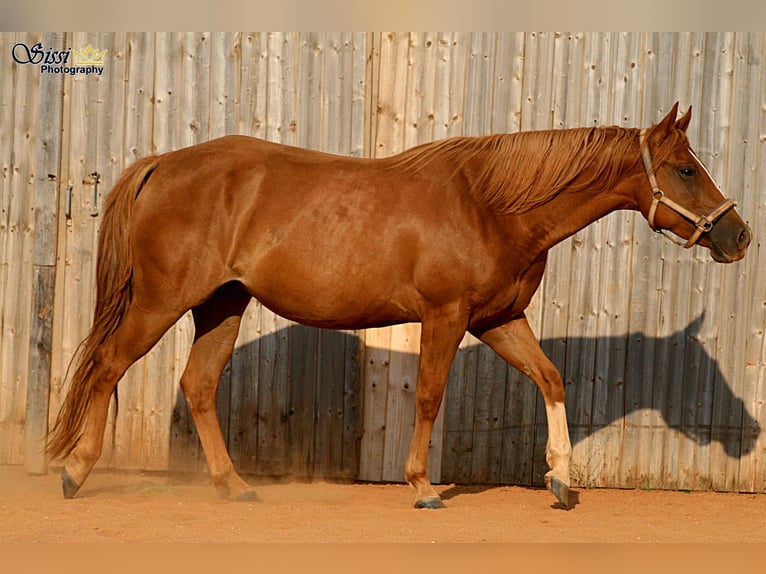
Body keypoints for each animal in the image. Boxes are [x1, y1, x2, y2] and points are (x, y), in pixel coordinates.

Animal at [47, 102, 751, 509]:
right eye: (685, 169)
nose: (738, 236)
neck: (492, 204)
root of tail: (164, 164)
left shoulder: (499, 320)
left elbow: (551, 378)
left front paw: (560, 480)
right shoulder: (447, 315)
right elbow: (431, 396)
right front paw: (422, 486)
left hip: (222, 304)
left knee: (197, 385)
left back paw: (234, 486)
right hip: (161, 302)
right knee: (107, 367)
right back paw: (76, 473)